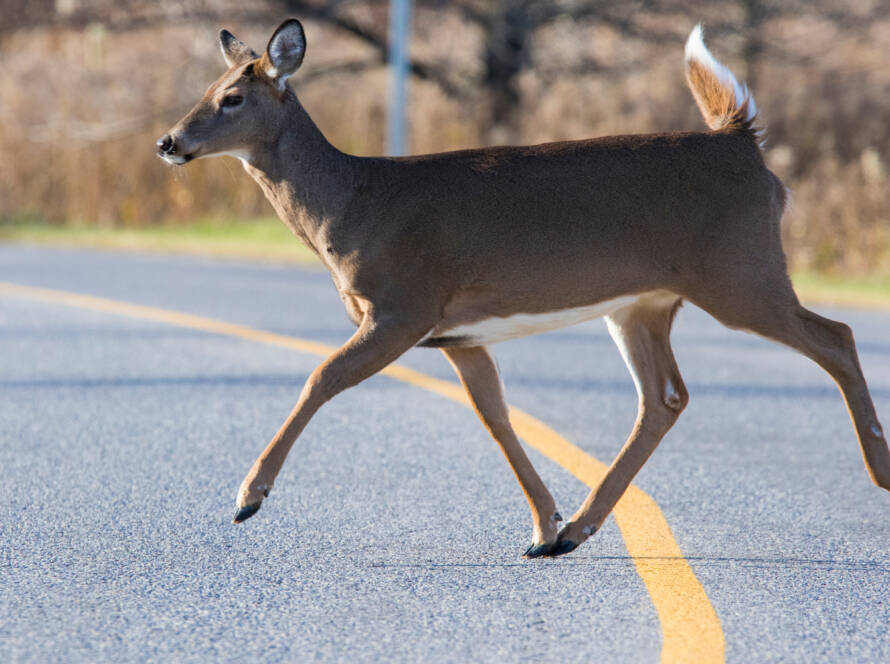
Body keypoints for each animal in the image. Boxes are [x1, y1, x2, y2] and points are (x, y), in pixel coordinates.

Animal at [157, 19, 889, 557]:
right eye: (208, 86)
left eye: (232, 97)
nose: (168, 142)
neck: (354, 204)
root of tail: (745, 143)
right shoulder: (456, 334)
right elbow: (496, 416)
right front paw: (542, 525)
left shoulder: (403, 306)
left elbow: (320, 377)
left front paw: (248, 497)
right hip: (644, 303)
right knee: (665, 397)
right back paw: (575, 532)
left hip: (741, 272)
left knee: (836, 336)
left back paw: (880, 472)